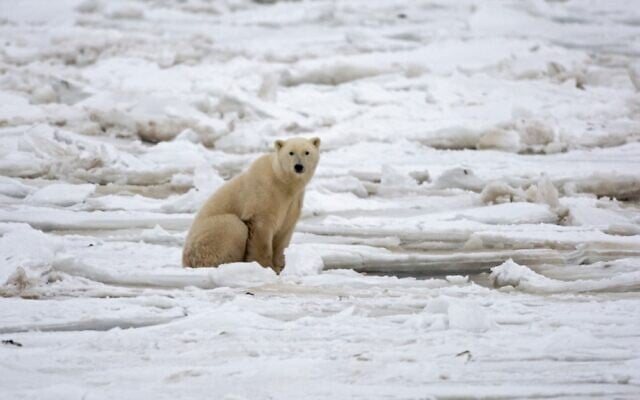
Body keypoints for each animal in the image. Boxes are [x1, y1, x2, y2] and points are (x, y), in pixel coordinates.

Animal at [182, 136, 321, 273]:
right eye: (291, 152)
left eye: (307, 152)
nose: (298, 166)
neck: (282, 182)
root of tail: (185, 262)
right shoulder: (264, 193)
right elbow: (261, 230)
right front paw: (265, 266)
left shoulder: (293, 201)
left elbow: (284, 231)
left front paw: (279, 266)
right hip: (208, 236)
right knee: (233, 225)